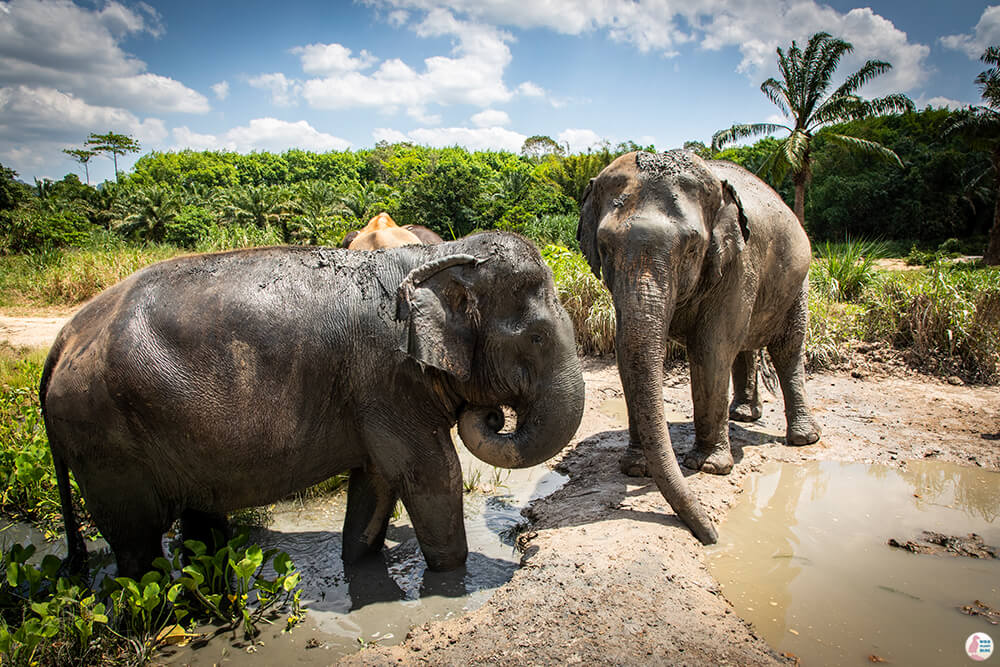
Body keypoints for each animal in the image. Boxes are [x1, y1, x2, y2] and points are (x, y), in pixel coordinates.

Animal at [41, 234, 584, 580]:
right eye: (536, 338)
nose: (492, 414)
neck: (441, 253)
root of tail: (64, 337)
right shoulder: (385, 376)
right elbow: (431, 475)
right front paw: (454, 579)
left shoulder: (373, 393)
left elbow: (377, 481)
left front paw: (359, 567)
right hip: (104, 440)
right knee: (137, 547)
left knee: (199, 527)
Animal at [580, 150, 820, 544]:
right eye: (604, 247)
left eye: (692, 248)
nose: (711, 537)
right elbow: (625, 347)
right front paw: (636, 469)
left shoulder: (738, 261)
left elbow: (711, 349)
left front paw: (708, 467)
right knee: (745, 347)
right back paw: (744, 415)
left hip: (798, 279)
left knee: (787, 349)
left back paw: (803, 439)